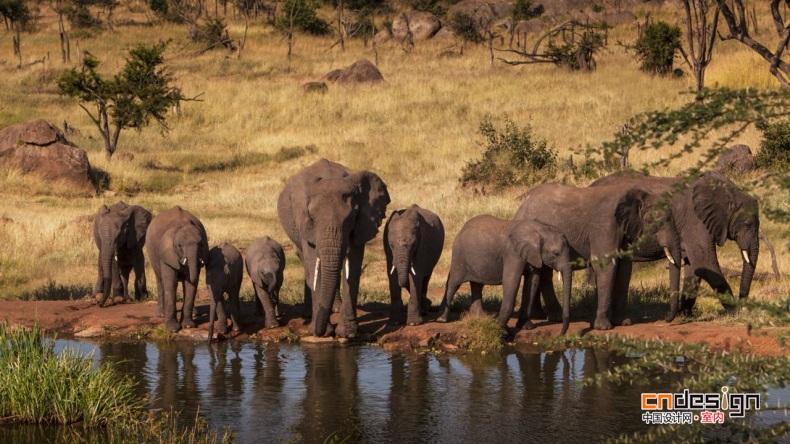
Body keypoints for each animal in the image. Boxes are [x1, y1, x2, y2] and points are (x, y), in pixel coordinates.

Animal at [276, 159, 392, 336]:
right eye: (312, 218)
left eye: (351, 217)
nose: (319, 332)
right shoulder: (305, 223)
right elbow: (313, 263)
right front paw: (322, 332)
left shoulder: (361, 224)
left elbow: (353, 266)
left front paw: (348, 333)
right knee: (307, 265)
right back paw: (310, 314)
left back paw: (335, 308)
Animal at [434, 215, 576, 332]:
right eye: (556, 253)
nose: (562, 332)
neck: (540, 229)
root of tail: (462, 229)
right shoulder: (512, 253)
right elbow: (511, 281)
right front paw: (499, 327)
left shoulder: (534, 255)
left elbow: (532, 283)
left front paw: (527, 327)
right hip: (459, 254)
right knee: (454, 283)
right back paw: (442, 320)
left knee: (477, 284)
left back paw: (481, 317)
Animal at [516, 182, 684, 332]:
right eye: (658, 219)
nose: (666, 318)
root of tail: (521, 206)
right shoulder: (605, 225)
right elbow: (607, 266)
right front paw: (603, 327)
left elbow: (624, 269)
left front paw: (624, 323)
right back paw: (551, 317)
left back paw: (546, 316)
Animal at [592, 172, 760, 314]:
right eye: (747, 225)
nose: (744, 306)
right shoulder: (695, 221)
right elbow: (705, 261)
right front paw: (734, 312)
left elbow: (695, 267)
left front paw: (685, 314)